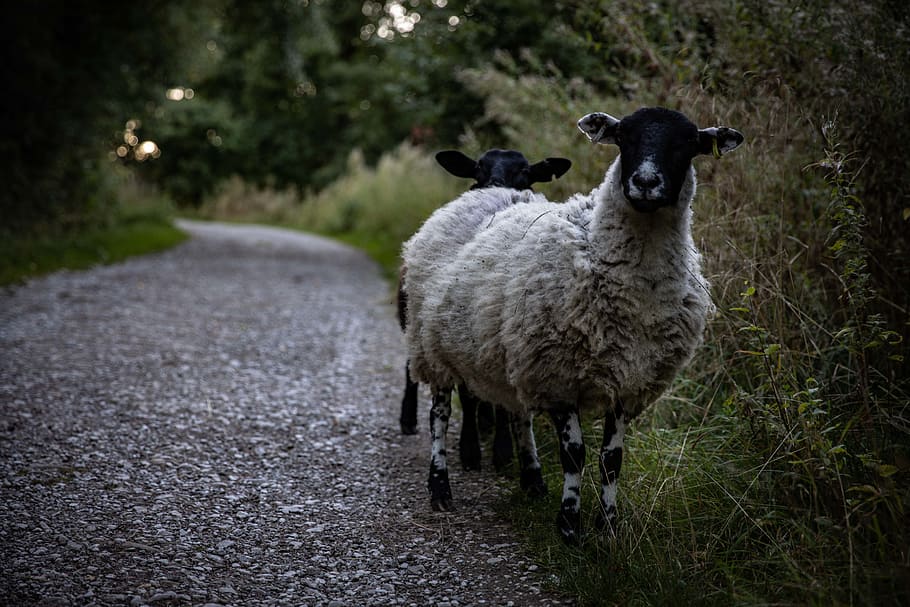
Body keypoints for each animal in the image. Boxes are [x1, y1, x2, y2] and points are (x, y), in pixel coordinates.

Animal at [398, 149, 571, 476]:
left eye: (526, 171)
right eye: (478, 167)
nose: (495, 184)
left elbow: (500, 403)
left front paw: (502, 451)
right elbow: (467, 398)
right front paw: (470, 450)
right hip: (415, 324)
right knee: (410, 369)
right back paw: (408, 419)